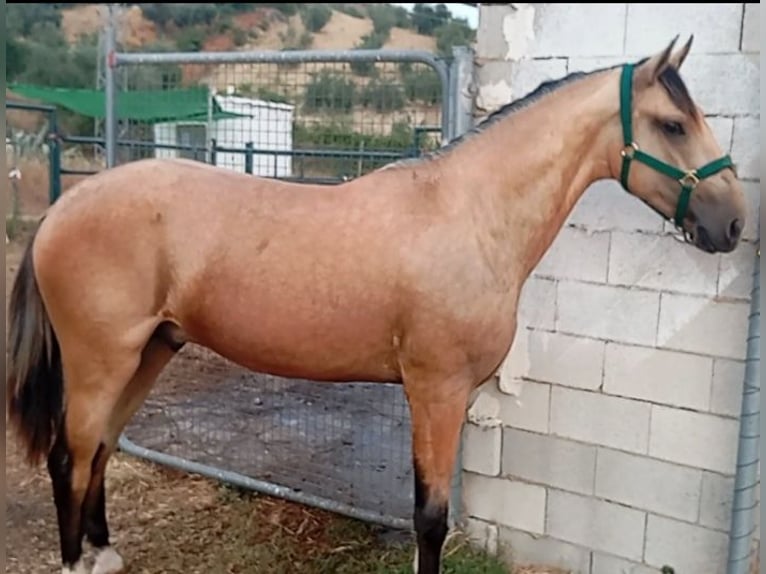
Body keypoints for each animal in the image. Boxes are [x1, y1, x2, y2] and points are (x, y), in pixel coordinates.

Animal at [6, 36, 752, 574]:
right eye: (673, 125)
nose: (735, 223)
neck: (468, 213)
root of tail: (63, 208)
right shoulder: (435, 390)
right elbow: (430, 517)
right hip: (102, 361)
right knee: (70, 455)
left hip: (152, 350)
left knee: (101, 448)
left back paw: (105, 554)